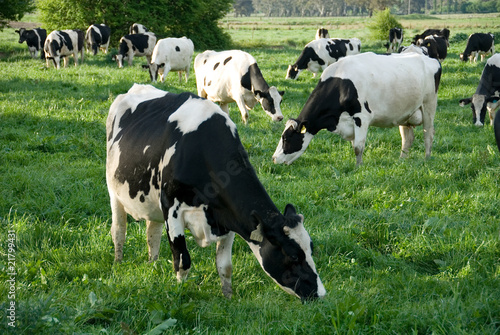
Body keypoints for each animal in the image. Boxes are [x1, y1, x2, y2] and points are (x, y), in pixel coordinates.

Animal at [105, 84, 326, 302]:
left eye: (310, 248)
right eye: (293, 256)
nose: (321, 294)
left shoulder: (228, 217)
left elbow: (224, 266)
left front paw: (227, 297)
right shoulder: (171, 209)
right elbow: (182, 260)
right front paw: (180, 292)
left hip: (152, 203)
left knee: (152, 234)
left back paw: (153, 264)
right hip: (114, 192)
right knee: (119, 230)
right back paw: (118, 263)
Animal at [274, 47, 442, 167]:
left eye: (286, 138)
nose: (274, 158)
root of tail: (430, 59)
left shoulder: (362, 117)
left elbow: (358, 147)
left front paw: (358, 167)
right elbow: (354, 144)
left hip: (429, 105)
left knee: (428, 134)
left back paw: (427, 158)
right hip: (405, 113)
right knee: (407, 138)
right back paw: (402, 160)